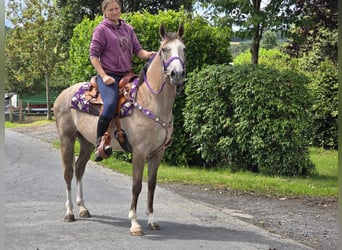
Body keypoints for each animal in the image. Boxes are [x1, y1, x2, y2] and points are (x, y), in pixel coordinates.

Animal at [53, 24, 186, 235]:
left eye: (184, 49)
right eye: (164, 49)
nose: (177, 74)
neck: (150, 100)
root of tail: (63, 94)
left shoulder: (158, 153)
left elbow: (152, 185)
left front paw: (152, 220)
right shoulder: (139, 152)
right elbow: (136, 185)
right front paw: (135, 223)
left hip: (86, 142)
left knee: (79, 169)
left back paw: (83, 208)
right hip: (67, 139)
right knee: (68, 172)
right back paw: (69, 213)